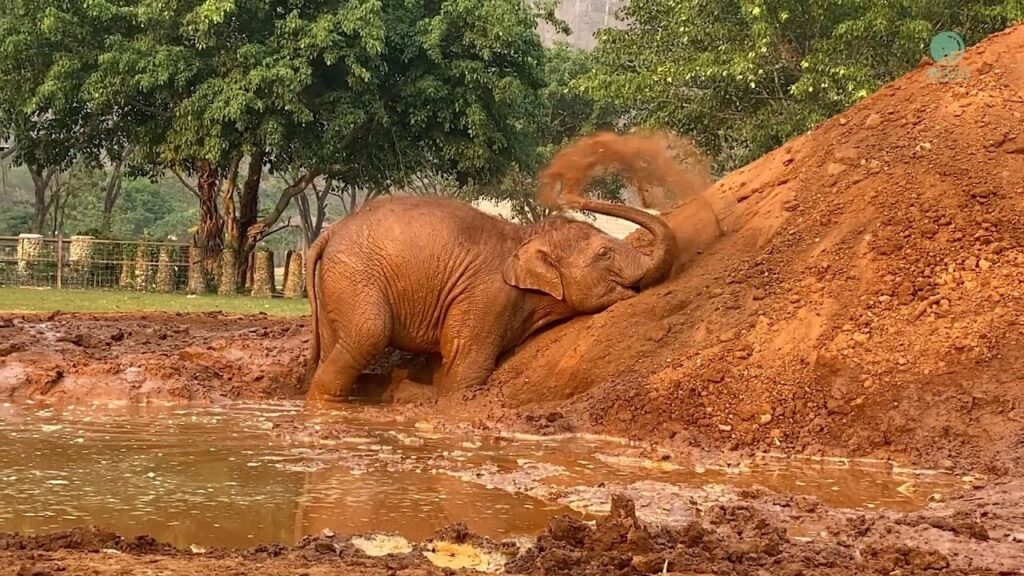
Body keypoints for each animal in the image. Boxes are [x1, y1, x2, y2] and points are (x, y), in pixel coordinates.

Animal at [304, 194, 676, 402]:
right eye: (604, 253)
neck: (525, 236)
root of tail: (330, 232)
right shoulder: (487, 296)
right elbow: (467, 365)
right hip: (355, 277)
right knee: (369, 333)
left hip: (336, 286)